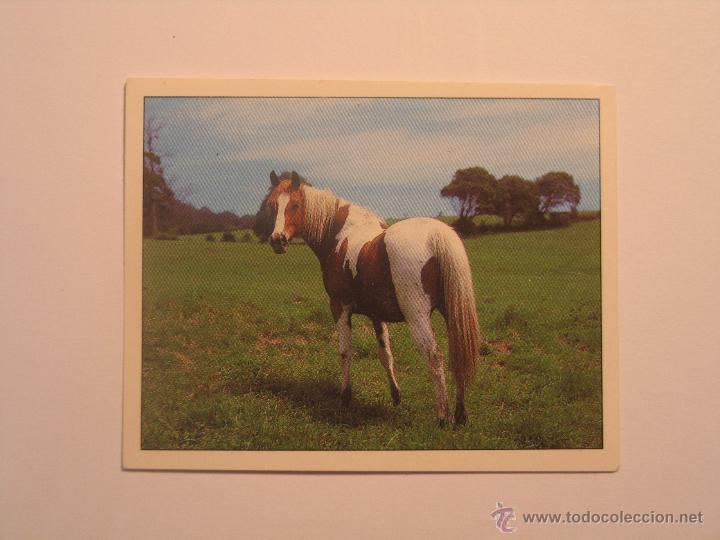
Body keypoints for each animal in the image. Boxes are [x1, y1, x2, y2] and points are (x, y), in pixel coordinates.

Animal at [255, 170, 481, 425]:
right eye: (273, 205)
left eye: (295, 204)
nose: (278, 240)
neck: (340, 235)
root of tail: (435, 236)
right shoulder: (377, 315)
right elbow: (386, 355)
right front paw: (396, 395)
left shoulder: (339, 307)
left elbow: (345, 352)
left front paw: (345, 398)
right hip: (452, 313)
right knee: (457, 355)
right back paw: (460, 415)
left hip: (418, 317)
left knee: (434, 357)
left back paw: (443, 417)